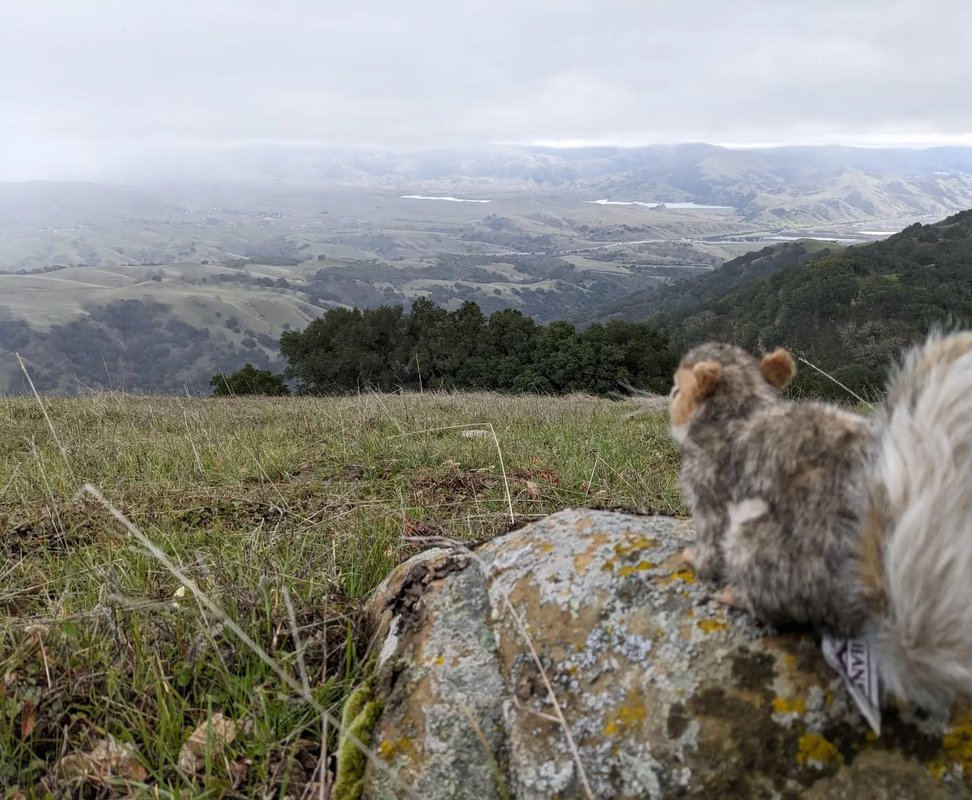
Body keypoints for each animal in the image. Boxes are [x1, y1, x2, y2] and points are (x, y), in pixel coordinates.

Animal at [669, 331, 972, 712]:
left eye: (677, 390)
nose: (669, 402)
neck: (746, 405)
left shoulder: (708, 486)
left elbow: (709, 545)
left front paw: (692, 558)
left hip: (755, 545)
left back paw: (736, 595)